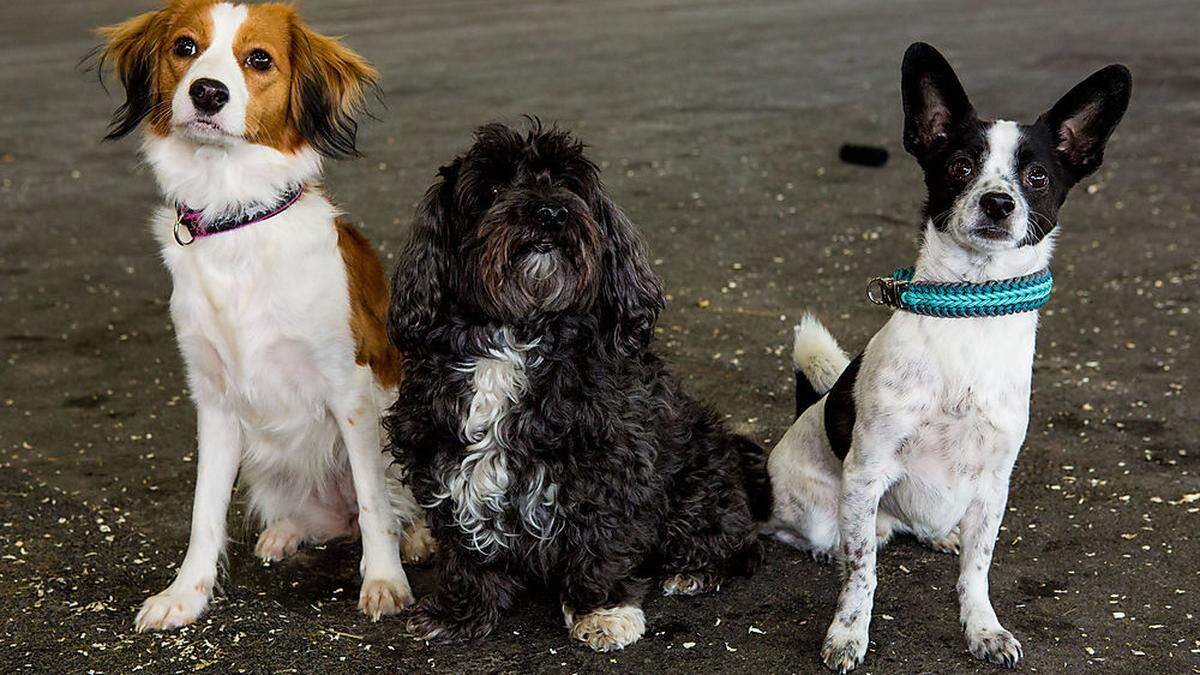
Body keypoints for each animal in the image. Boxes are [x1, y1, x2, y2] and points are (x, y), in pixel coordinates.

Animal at [94, 1, 432, 629]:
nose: (207, 92)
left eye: (259, 60)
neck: (236, 219)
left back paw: (417, 537)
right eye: (185, 47)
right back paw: (286, 532)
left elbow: (373, 502)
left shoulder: (351, 392)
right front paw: (186, 593)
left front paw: (384, 582)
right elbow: (204, 511)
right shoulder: (213, 400)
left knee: (391, 505)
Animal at [384, 121, 768, 653]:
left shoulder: (609, 463)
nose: (550, 212)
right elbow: (465, 551)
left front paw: (603, 609)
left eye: (568, 183)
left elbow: (601, 538)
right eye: (493, 189)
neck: (517, 335)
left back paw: (695, 569)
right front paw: (462, 612)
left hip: (700, 478)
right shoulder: (445, 458)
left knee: (738, 541)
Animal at [763, 44, 1128, 667]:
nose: (998, 202)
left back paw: (937, 535)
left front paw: (982, 628)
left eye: (1036, 176)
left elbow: (976, 571)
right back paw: (831, 547)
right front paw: (848, 633)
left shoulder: (993, 485)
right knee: (828, 537)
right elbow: (862, 575)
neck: (970, 313)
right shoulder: (866, 472)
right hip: (817, 508)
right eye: (960, 166)